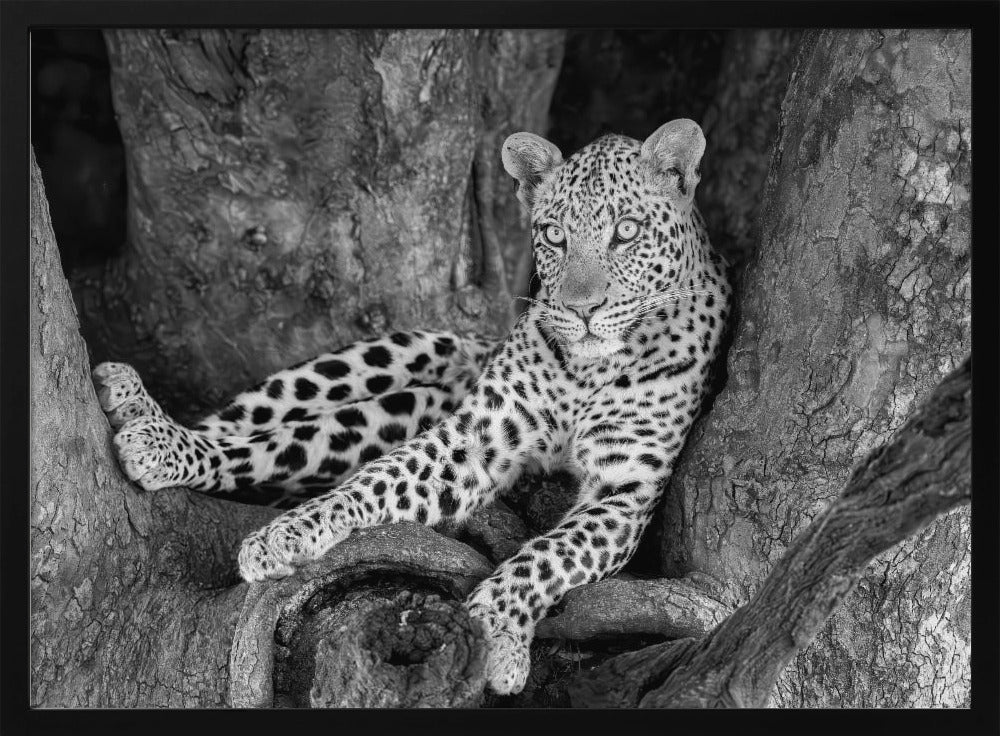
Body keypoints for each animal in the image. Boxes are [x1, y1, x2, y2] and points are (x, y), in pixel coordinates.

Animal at [93, 118, 731, 695]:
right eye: (553, 234)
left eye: (627, 231)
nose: (580, 310)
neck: (589, 369)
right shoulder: (473, 437)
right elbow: (375, 481)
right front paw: (287, 535)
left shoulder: (627, 488)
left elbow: (550, 554)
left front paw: (494, 632)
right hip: (379, 363)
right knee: (243, 432)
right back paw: (145, 421)